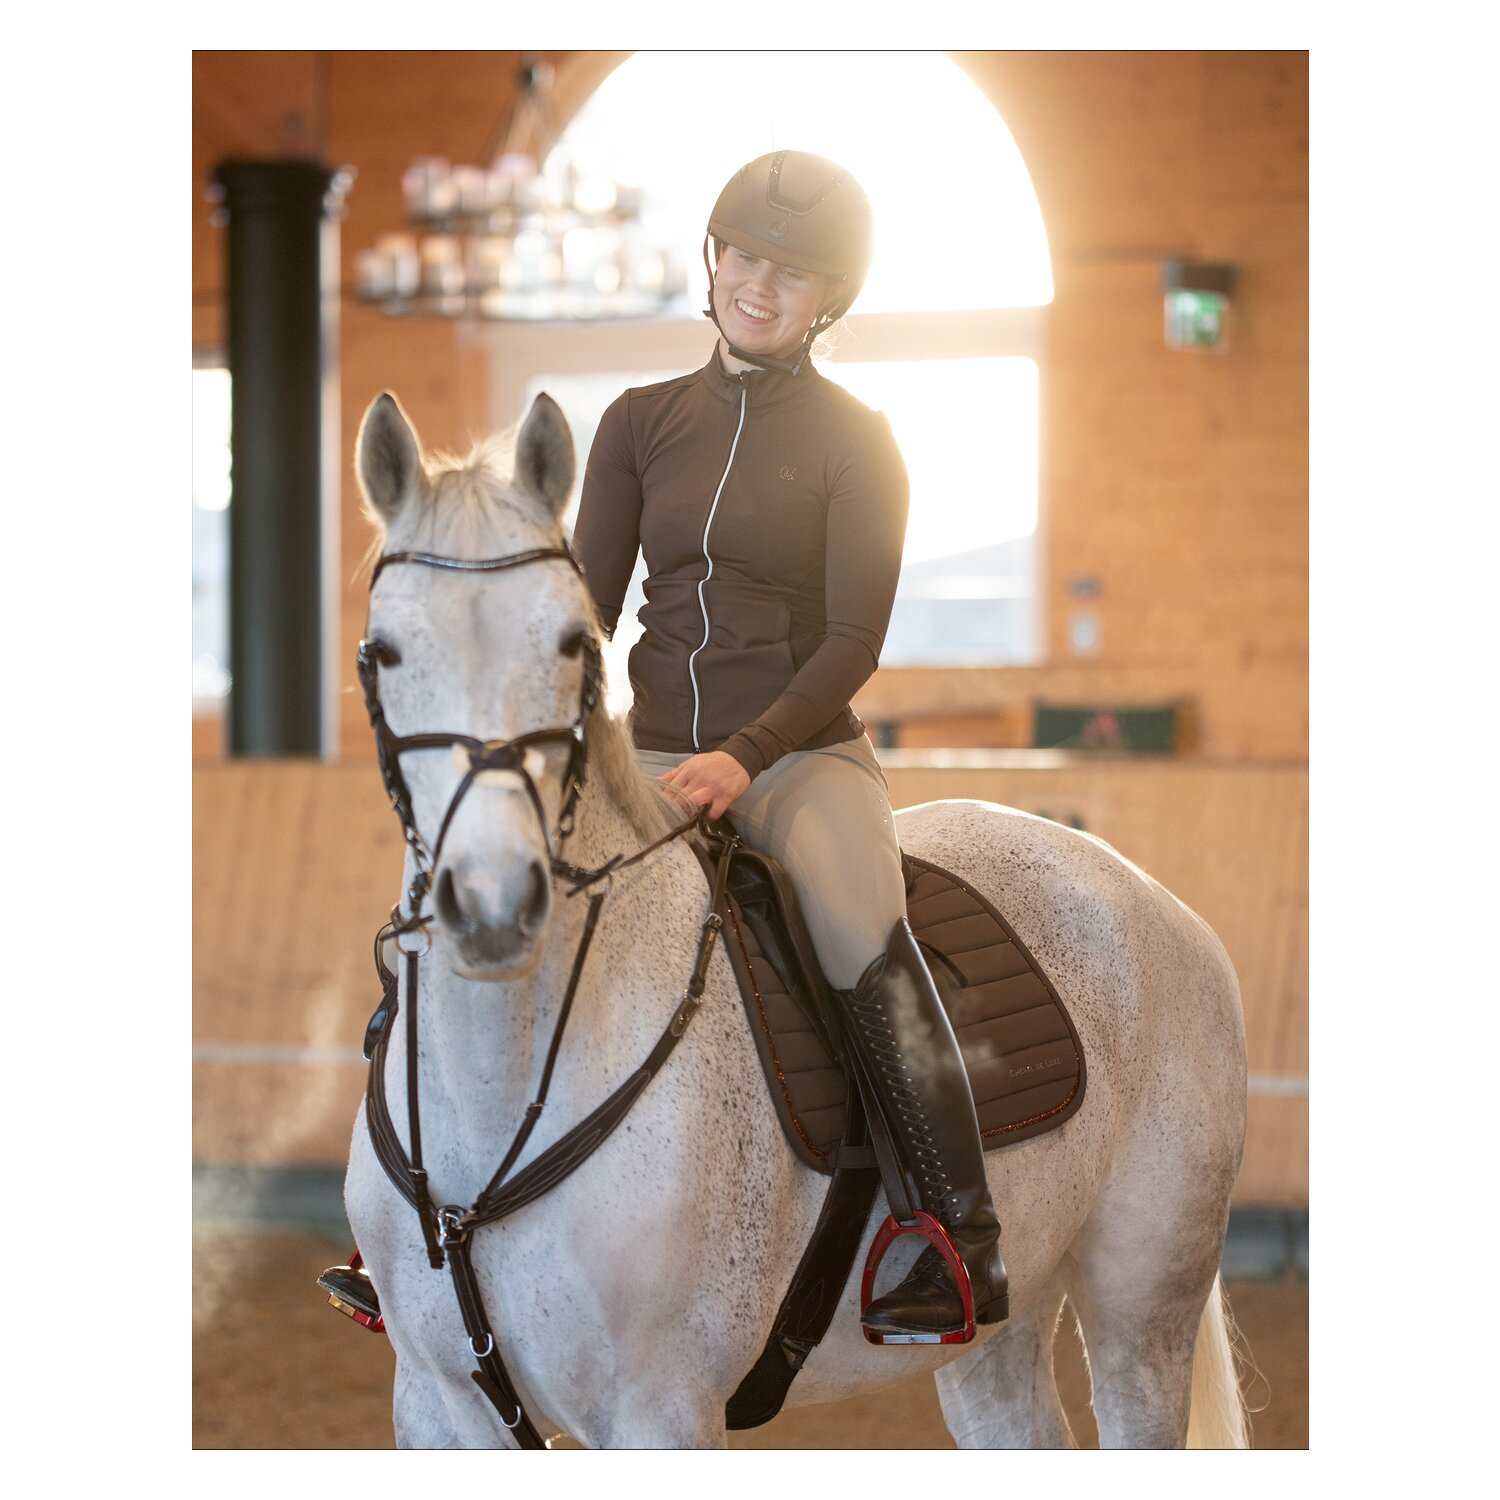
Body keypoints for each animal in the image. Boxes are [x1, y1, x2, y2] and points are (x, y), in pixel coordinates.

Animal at [341, 388, 1251, 1449]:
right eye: (382, 651)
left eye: (572, 644)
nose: (491, 904)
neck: (503, 1095)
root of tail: (1147, 895)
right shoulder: (437, 1404)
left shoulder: (661, 1410)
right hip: (1003, 1326)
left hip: (1144, 1307)